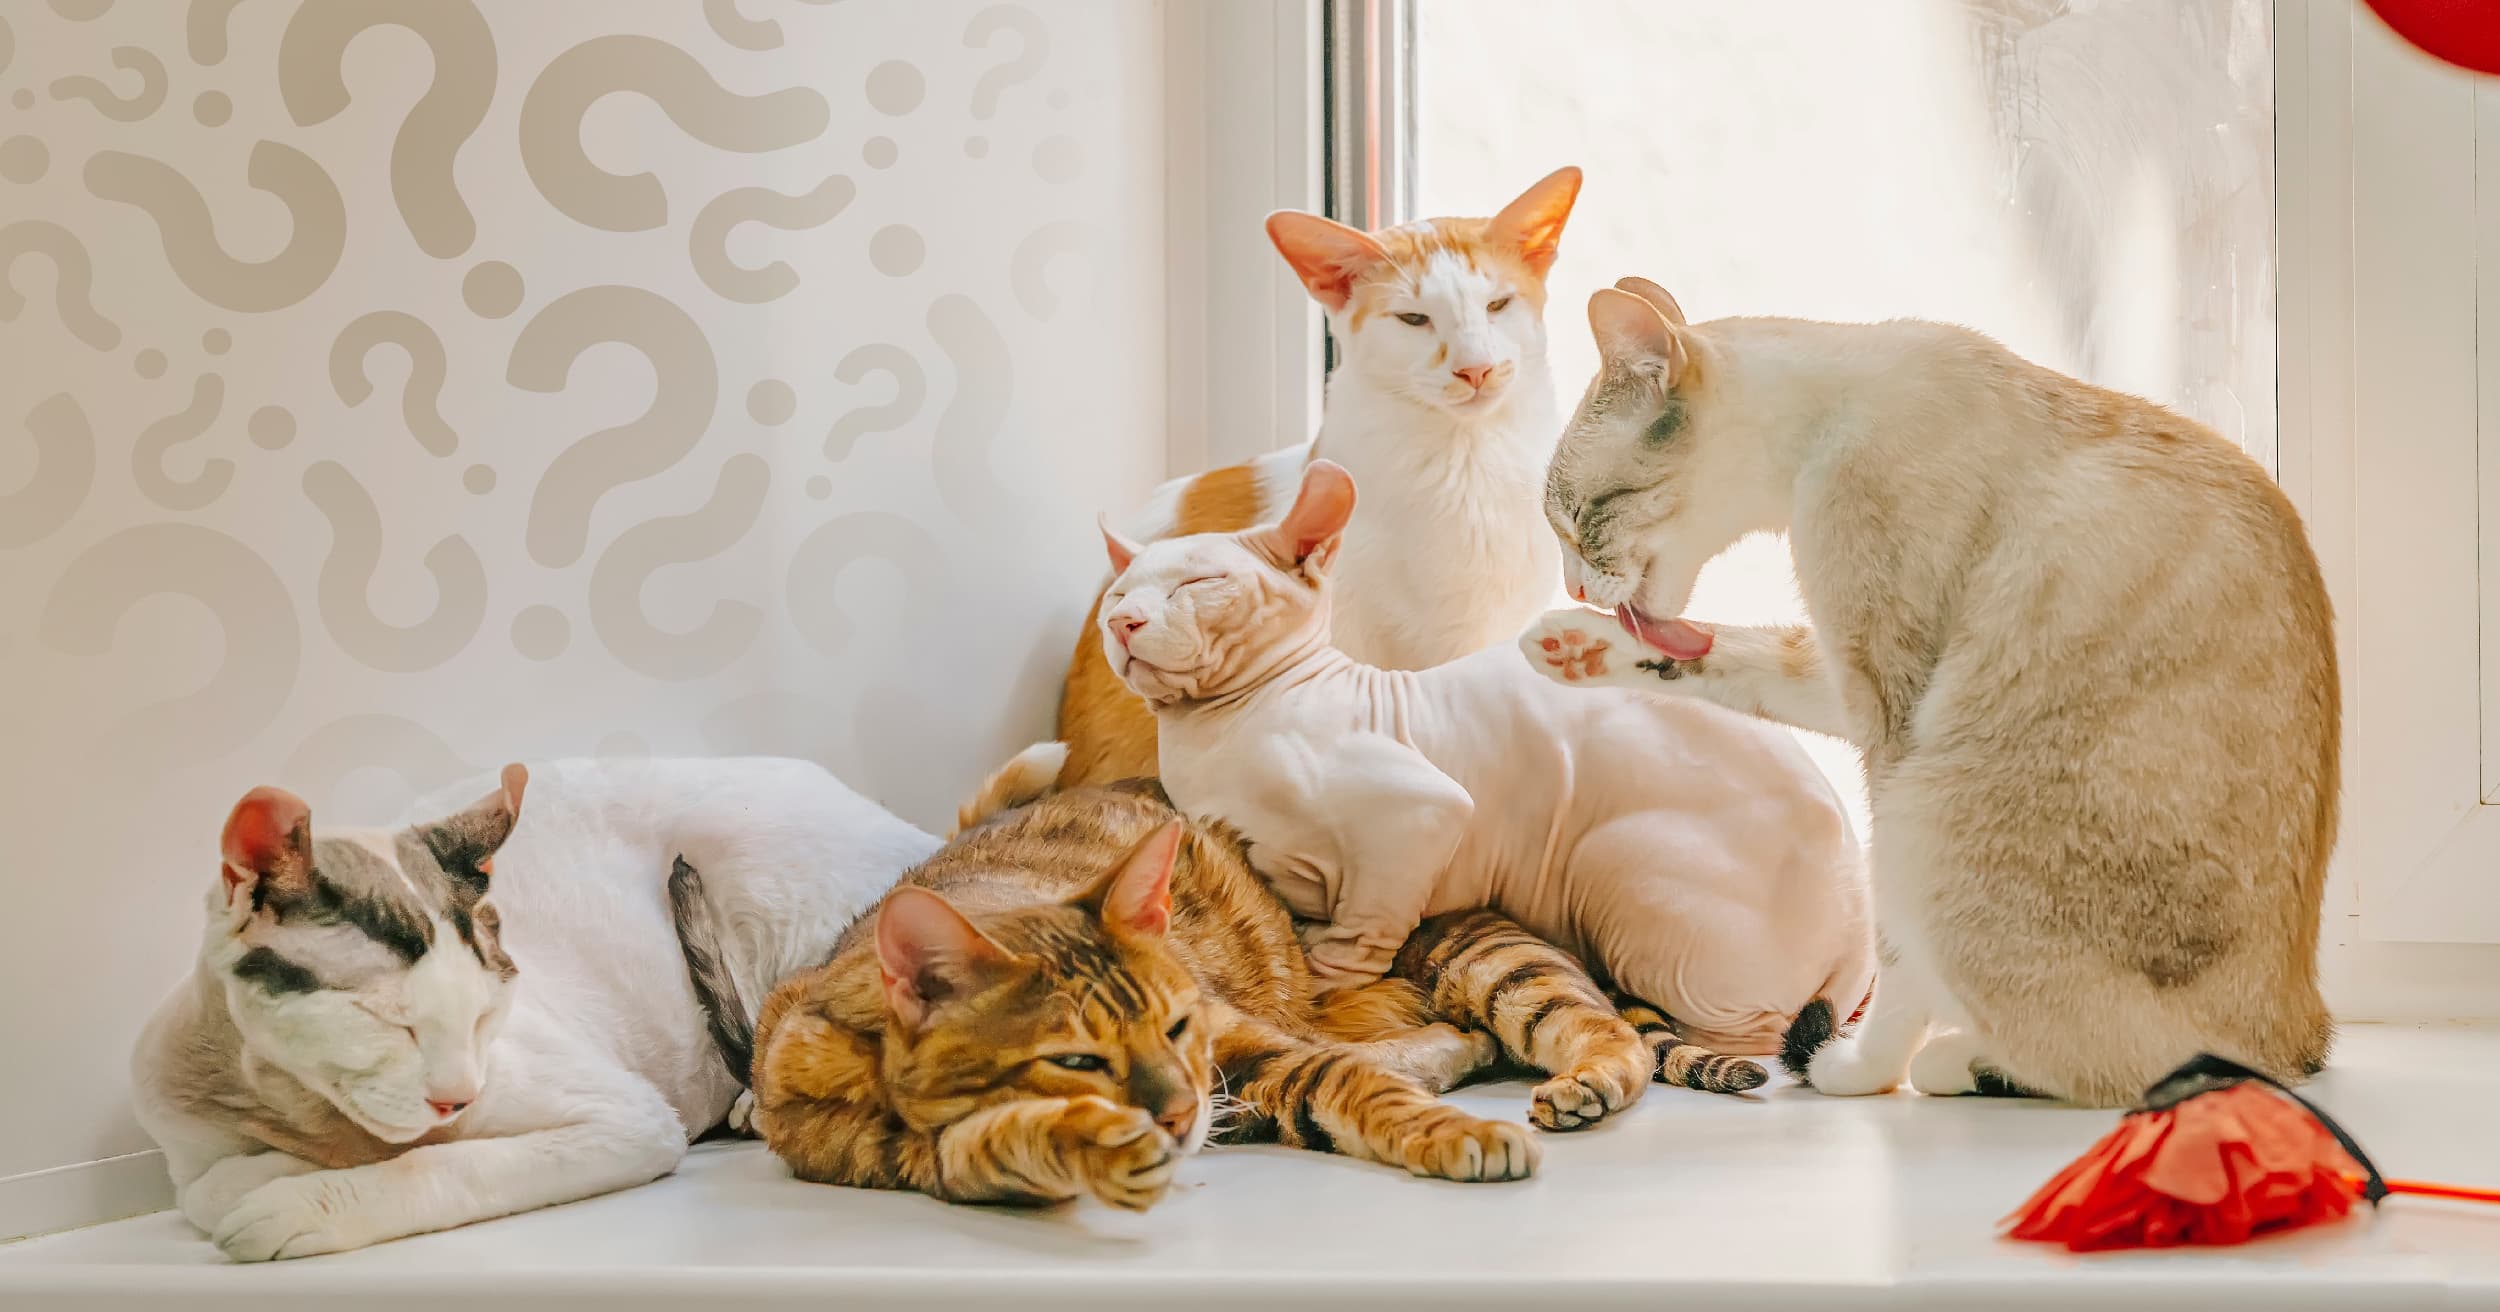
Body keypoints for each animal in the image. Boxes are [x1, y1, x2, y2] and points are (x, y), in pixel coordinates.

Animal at [126, 754, 935, 1259]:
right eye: (387, 1023)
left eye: (486, 1016)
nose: (456, 1098)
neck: (305, 1114)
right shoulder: (188, 1147)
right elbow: (207, 1187)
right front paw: (278, 1172)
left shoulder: (628, 1118)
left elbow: (439, 1168)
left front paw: (297, 1199)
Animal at [1100, 454, 1880, 1069]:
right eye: (1118, 594)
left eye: (1197, 584)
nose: (1121, 622)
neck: (1211, 733)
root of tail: (1863, 933)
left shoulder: (1419, 812)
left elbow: (1360, 934)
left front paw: (1320, 980)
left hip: (1611, 862)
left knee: (1749, 1036)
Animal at [1520, 278, 2340, 1104]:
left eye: (1579, 518)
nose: (1570, 585)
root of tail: (2302, 1033)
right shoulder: (1846, 677)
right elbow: (1730, 656)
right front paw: (1573, 647)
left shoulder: (1889, 713)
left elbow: (1891, 966)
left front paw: (1859, 1069)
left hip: (1922, 815)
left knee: (2125, 1066)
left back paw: (1957, 1063)